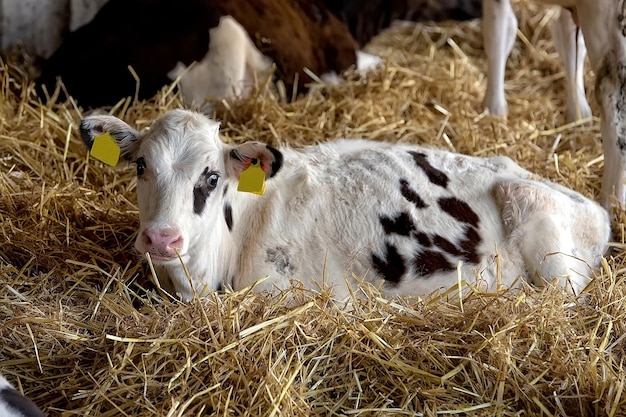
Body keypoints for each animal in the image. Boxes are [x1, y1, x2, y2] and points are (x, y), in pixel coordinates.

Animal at [480, 0, 624, 208]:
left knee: (612, 103)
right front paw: (578, 114)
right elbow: (569, 37)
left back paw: (612, 202)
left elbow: (498, 29)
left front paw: (493, 108)